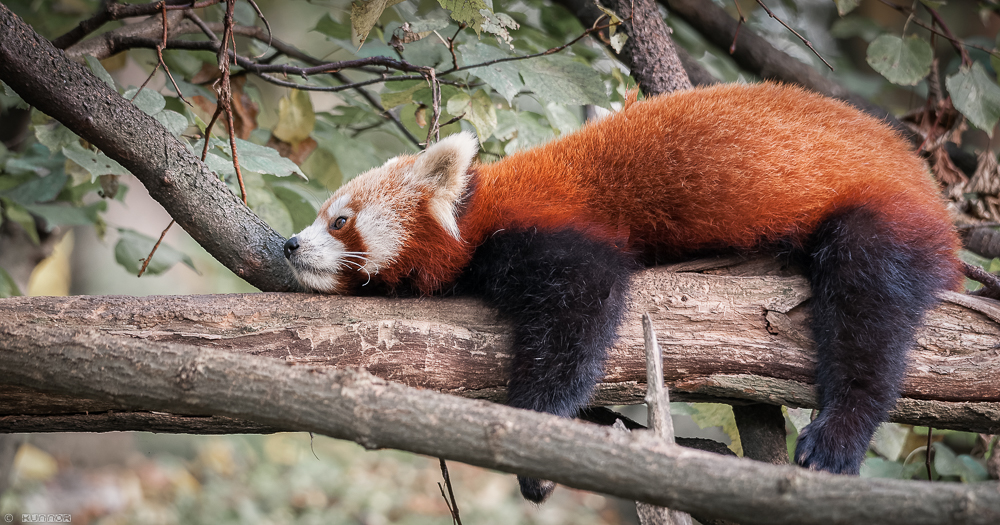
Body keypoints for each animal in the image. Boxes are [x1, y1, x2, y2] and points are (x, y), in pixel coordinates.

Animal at [282, 81, 960, 500]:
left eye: (338, 221)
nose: (288, 245)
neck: (478, 212)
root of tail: (925, 179)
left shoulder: (553, 228)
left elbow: (582, 313)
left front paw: (540, 430)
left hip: (879, 217)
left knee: (869, 314)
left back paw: (838, 434)